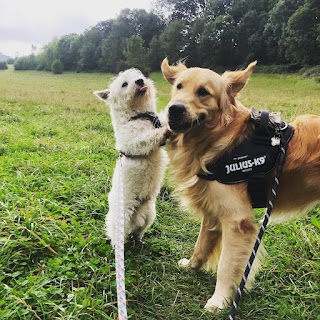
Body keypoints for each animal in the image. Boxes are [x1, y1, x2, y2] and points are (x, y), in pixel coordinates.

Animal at [94, 69, 169, 246]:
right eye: (124, 84)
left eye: (138, 75)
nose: (140, 81)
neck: (139, 114)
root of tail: (136, 216)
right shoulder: (134, 139)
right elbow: (147, 137)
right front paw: (163, 132)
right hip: (120, 218)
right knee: (116, 235)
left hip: (149, 215)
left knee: (138, 231)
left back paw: (139, 240)